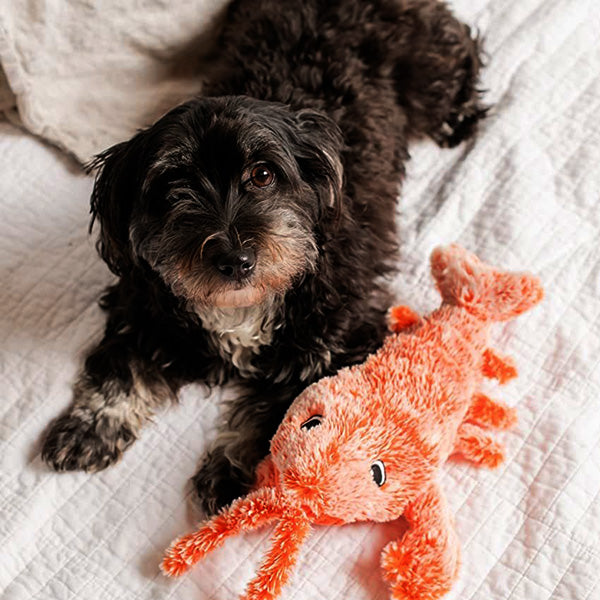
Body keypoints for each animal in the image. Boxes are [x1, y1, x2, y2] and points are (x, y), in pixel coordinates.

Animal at [42, 0, 486, 516]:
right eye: (173, 189)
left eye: (263, 174)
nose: (235, 259)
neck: (244, 306)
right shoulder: (144, 309)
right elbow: (120, 365)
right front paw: (90, 426)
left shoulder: (345, 334)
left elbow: (287, 407)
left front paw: (230, 472)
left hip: (432, 70)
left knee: (464, 57)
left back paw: (461, 119)